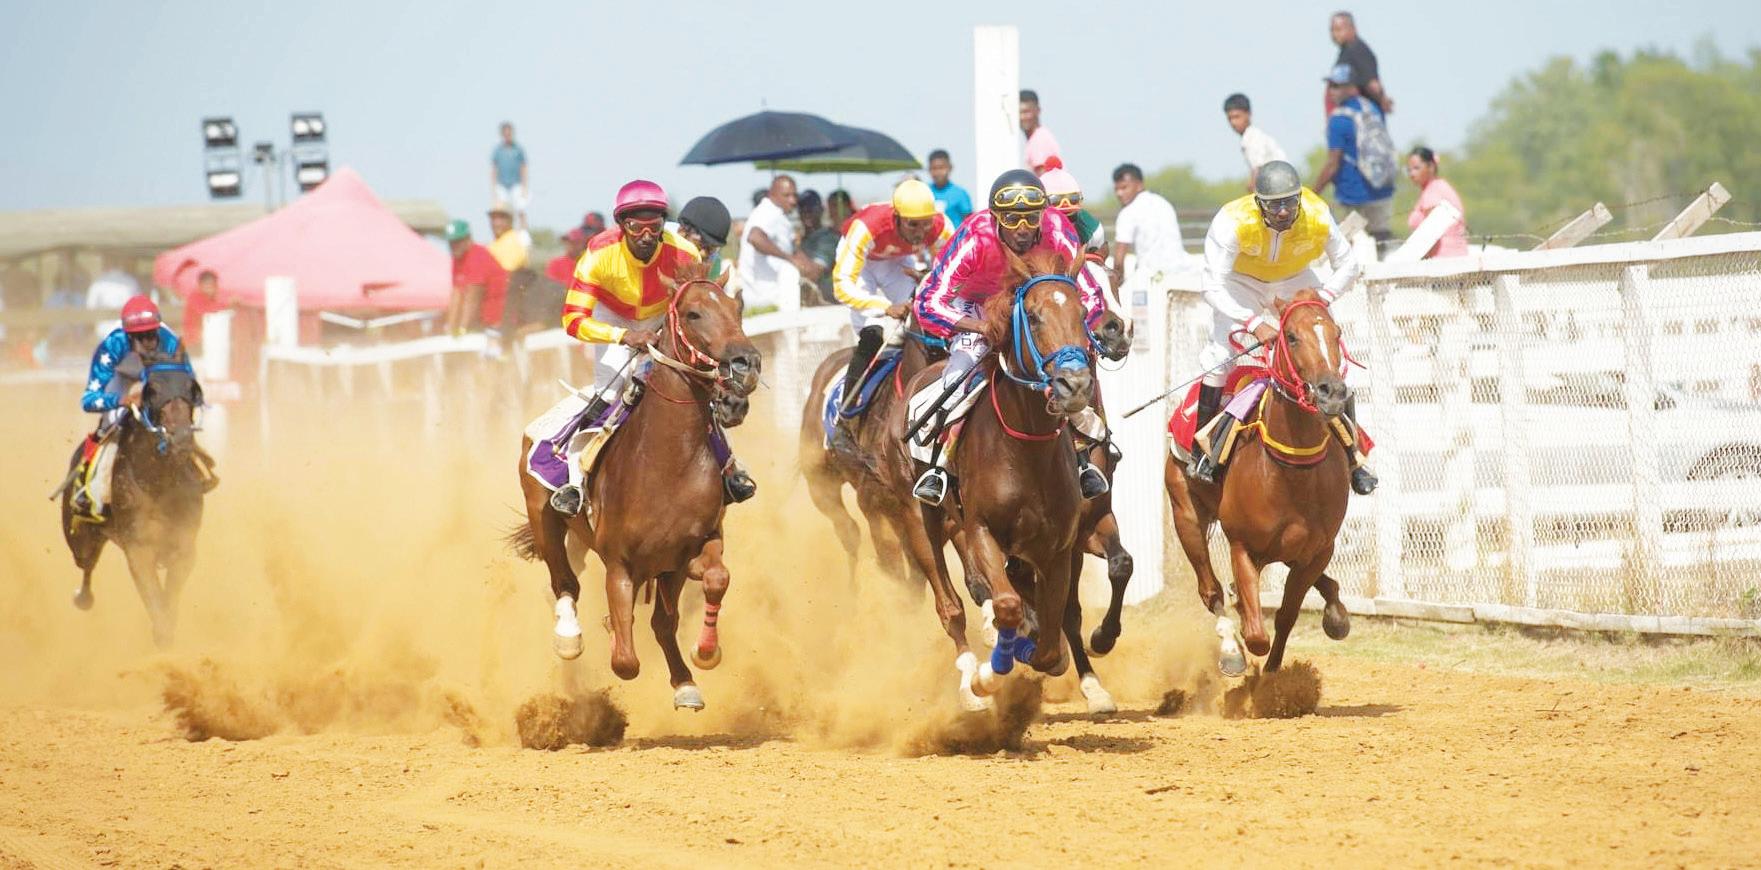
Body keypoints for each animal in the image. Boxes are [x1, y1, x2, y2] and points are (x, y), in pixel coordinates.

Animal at [58, 349, 210, 648]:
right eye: (153, 390)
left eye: (192, 388)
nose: (181, 439)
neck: (159, 480)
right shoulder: (138, 548)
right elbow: (155, 601)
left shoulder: (185, 546)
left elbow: (169, 600)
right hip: (81, 538)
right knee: (86, 565)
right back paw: (83, 597)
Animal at [506, 266, 761, 710]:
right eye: (693, 313)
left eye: (737, 308)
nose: (746, 365)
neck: (667, 464)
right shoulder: (620, 563)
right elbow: (625, 661)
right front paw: (610, 631)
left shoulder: (695, 543)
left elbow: (711, 581)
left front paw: (702, 658)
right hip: (545, 519)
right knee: (564, 582)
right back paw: (568, 637)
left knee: (656, 616)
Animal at [1163, 289, 1355, 675]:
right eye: (1291, 337)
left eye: (1337, 333)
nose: (1332, 392)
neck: (1293, 471)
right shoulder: (1242, 545)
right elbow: (1255, 635)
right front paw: (1242, 651)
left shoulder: (1319, 549)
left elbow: (1287, 614)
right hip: (1185, 514)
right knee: (1210, 590)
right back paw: (1229, 646)